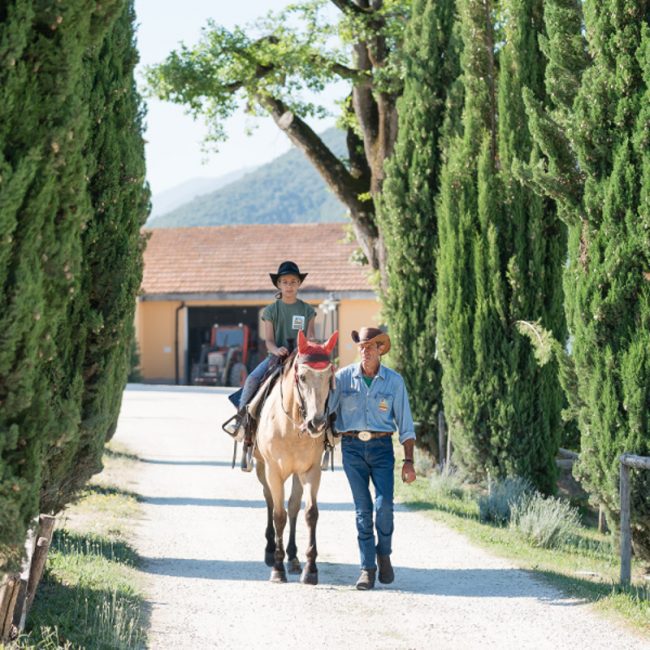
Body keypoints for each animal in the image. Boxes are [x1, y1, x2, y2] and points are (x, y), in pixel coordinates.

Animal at [251, 330, 336, 584]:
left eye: (330, 377)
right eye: (302, 377)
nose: (317, 423)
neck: (291, 426)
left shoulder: (311, 471)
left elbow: (309, 513)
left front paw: (310, 568)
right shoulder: (273, 471)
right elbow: (278, 515)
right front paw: (278, 568)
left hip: (297, 473)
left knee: (294, 506)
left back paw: (294, 557)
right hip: (262, 468)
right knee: (270, 500)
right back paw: (271, 551)